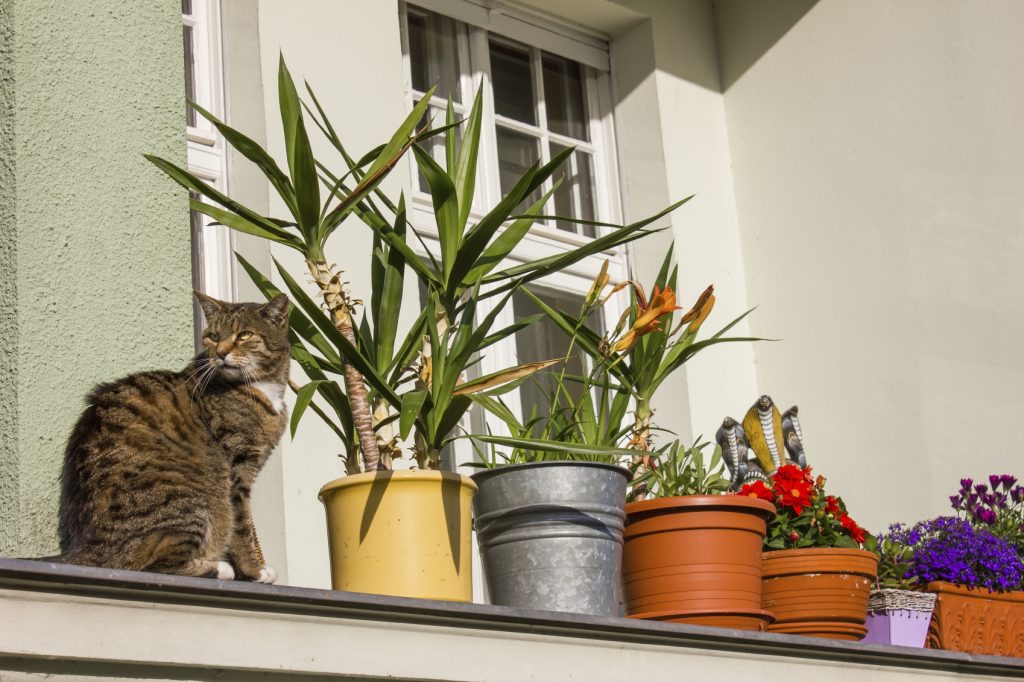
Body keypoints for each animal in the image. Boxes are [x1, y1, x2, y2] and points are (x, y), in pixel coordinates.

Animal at [56, 288, 290, 581]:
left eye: (244, 335)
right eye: (214, 336)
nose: (221, 353)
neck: (264, 387)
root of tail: (86, 550)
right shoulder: (236, 469)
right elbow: (242, 525)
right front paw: (255, 569)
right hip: (193, 501)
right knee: (155, 565)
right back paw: (218, 568)